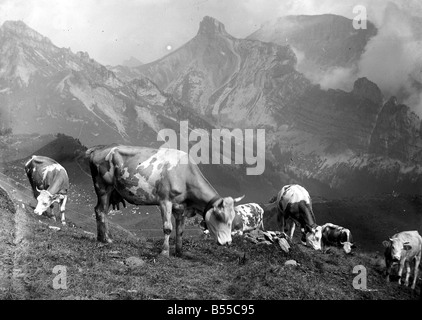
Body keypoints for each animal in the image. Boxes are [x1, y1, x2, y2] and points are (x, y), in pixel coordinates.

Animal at [86, 145, 244, 258]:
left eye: (232, 218)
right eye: (220, 217)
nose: (228, 242)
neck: (184, 175)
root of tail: (98, 149)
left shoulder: (181, 207)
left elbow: (180, 230)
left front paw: (179, 252)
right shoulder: (165, 201)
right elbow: (168, 228)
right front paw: (164, 252)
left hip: (110, 190)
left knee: (102, 211)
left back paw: (103, 237)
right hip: (103, 187)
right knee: (100, 211)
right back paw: (105, 240)